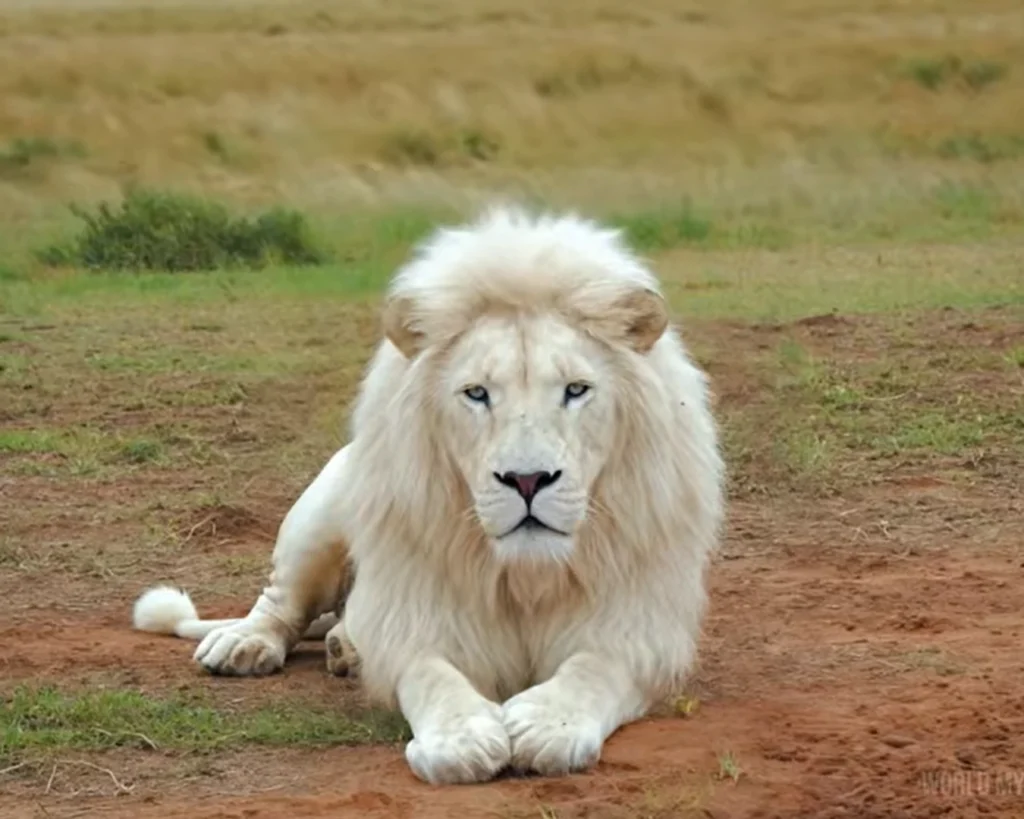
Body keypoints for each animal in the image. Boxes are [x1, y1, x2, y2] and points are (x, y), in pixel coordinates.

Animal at [132, 205, 725, 785]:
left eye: (576, 390)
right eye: (477, 393)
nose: (527, 480)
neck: (525, 575)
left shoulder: (638, 625)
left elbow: (595, 666)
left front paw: (546, 725)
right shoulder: (419, 618)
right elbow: (431, 675)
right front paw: (460, 742)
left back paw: (343, 648)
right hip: (317, 522)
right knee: (280, 604)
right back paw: (247, 644)